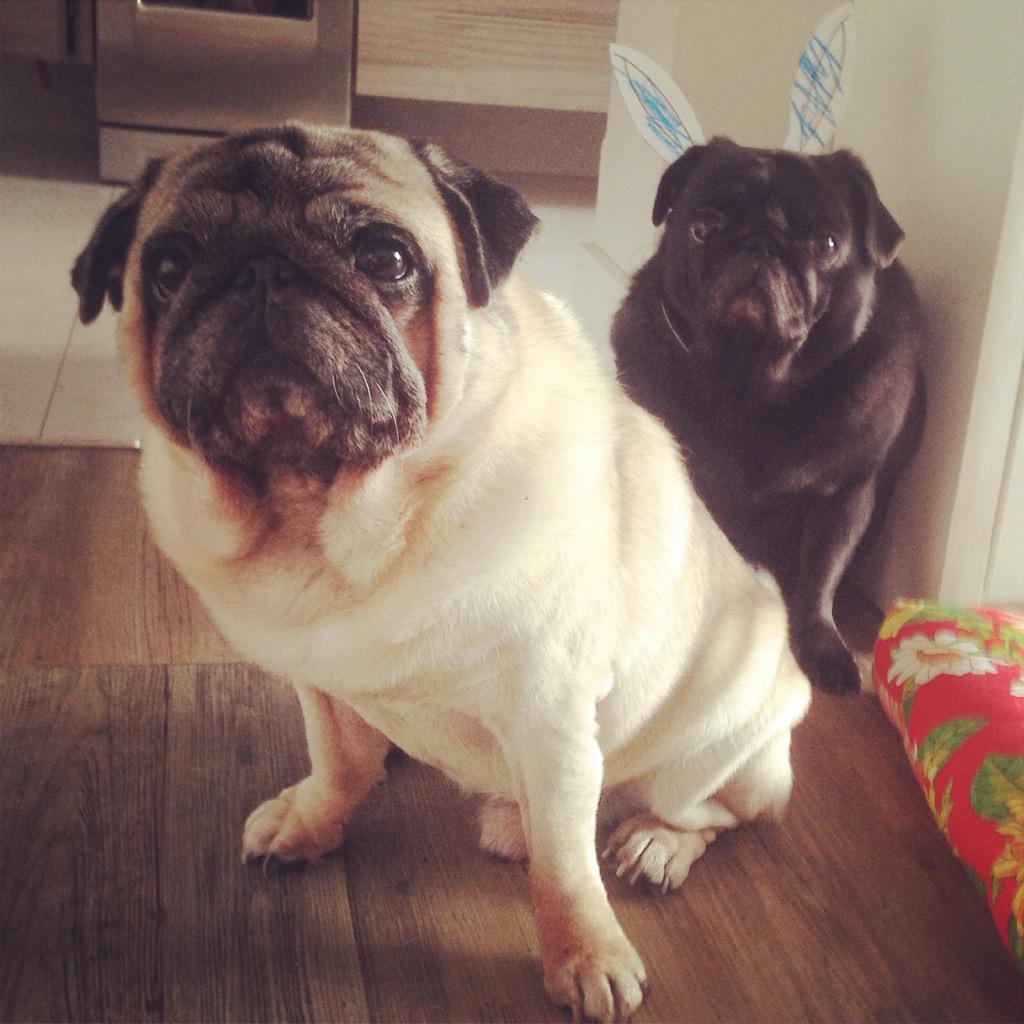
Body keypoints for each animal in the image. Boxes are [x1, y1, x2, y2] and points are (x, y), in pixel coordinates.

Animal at [73, 125, 810, 1022]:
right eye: (171, 266)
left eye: (386, 258)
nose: (262, 269)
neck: (330, 521)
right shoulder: (319, 683)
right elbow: (337, 762)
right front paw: (314, 821)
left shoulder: (550, 716)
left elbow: (566, 867)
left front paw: (586, 955)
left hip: (721, 739)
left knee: (710, 812)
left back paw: (656, 844)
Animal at [611, 137, 927, 696]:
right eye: (703, 228)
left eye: (826, 244)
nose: (760, 245)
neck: (750, 385)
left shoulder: (845, 498)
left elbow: (821, 575)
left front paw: (820, 644)